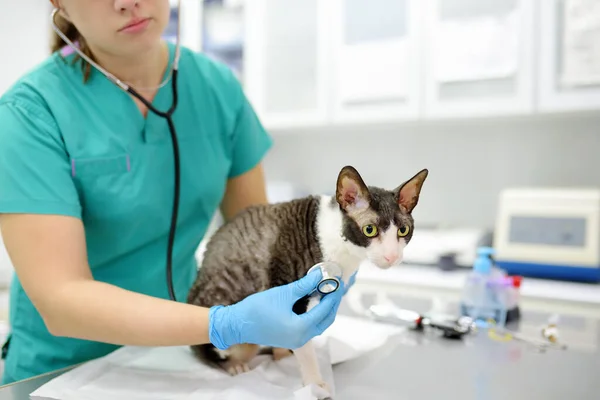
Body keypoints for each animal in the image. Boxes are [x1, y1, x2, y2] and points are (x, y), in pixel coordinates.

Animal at [188, 166, 426, 396]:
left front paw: (284, 355)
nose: (392, 257)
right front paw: (314, 382)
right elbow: (301, 340)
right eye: (370, 230)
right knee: (211, 352)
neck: (345, 253)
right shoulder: (288, 297)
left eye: (403, 230)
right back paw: (233, 365)